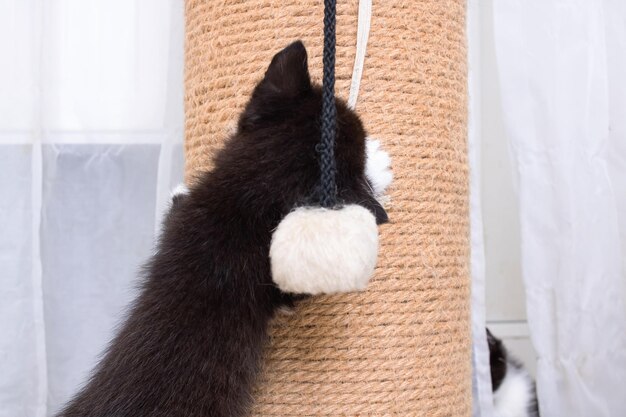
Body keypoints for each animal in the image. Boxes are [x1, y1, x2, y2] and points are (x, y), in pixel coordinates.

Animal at [57, 41, 390, 416]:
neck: (246, 197)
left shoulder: (186, 221)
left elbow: (175, 212)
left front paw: (177, 192)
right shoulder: (282, 279)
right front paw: (378, 166)